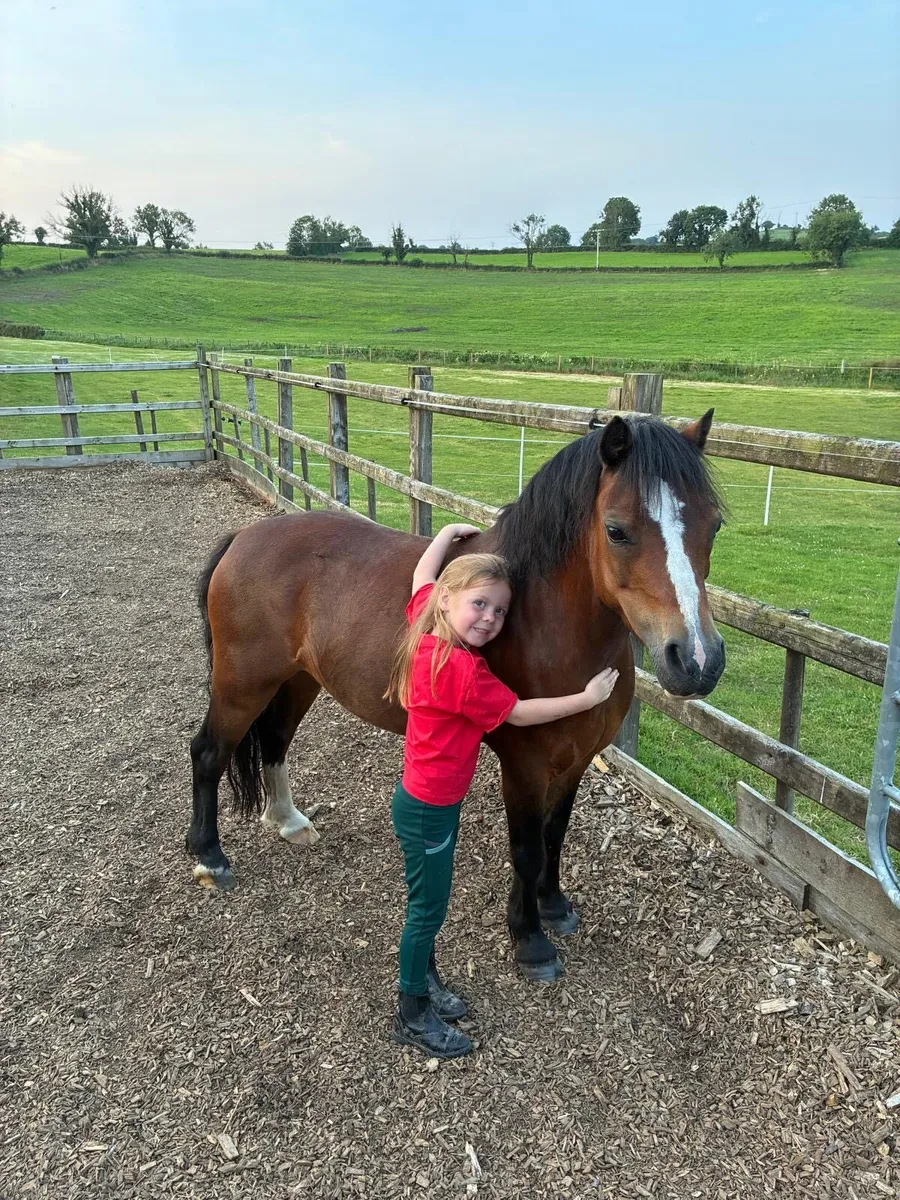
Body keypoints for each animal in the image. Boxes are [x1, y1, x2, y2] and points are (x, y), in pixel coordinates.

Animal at [187, 410, 726, 982]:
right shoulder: (525, 766)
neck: (543, 621)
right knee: (209, 752)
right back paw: (210, 856)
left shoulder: (577, 760)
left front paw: (554, 906)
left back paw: (288, 822)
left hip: (297, 680)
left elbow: (555, 834)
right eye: (617, 530)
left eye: (714, 525)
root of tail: (244, 537)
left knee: (274, 741)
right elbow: (527, 849)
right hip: (243, 682)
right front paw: (530, 939)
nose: (697, 660)